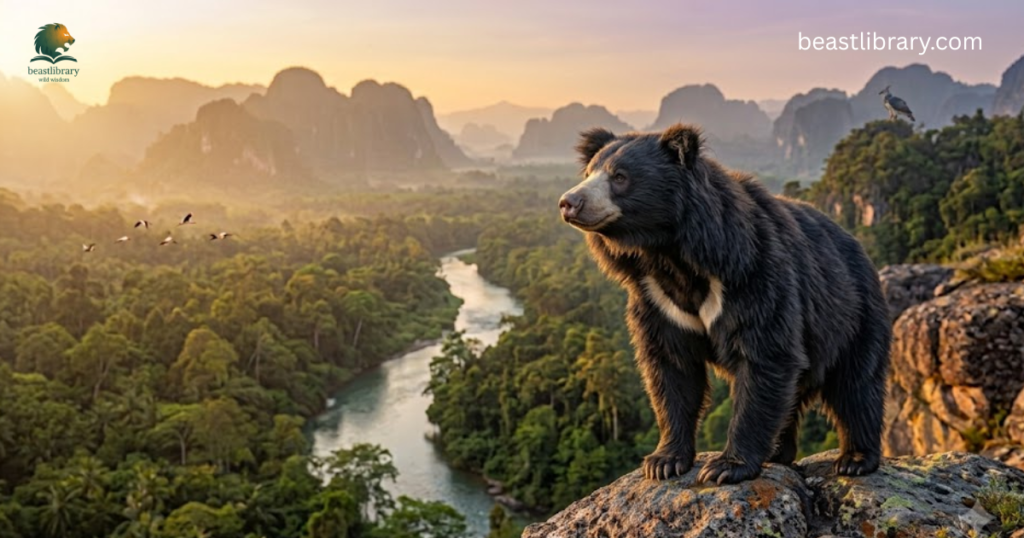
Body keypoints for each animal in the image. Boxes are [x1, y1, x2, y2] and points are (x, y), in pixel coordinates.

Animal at [557, 123, 891, 484]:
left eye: (620, 176)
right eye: (589, 173)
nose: (568, 202)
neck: (670, 252)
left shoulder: (752, 275)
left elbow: (765, 356)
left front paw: (725, 467)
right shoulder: (656, 300)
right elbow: (671, 368)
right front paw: (663, 462)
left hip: (855, 315)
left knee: (856, 384)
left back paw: (855, 459)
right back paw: (778, 451)